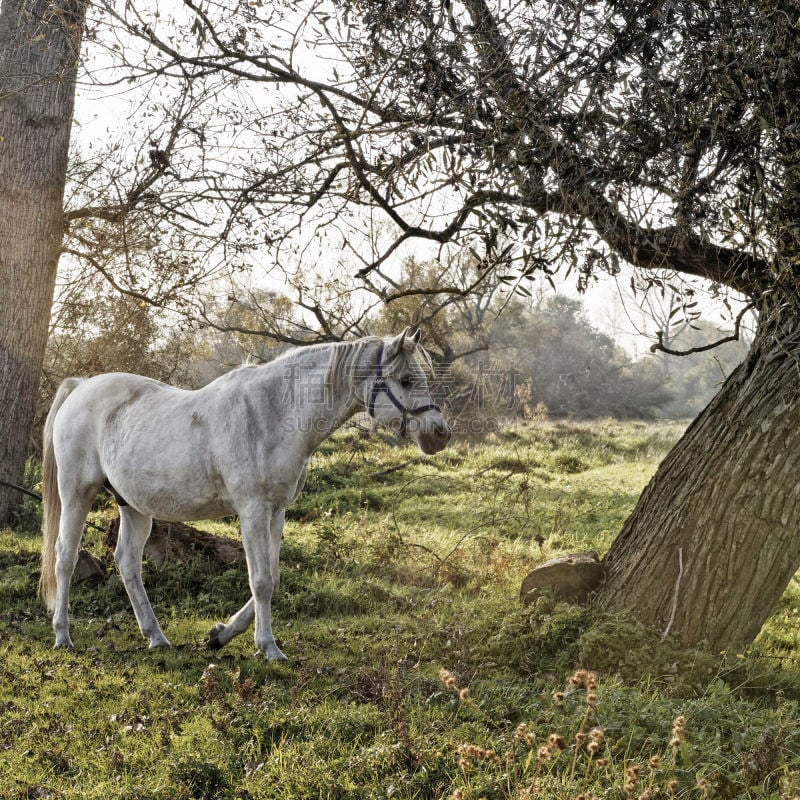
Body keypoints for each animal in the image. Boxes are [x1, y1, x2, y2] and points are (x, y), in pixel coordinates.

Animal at [40, 328, 450, 660]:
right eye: (406, 379)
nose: (440, 433)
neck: (271, 413)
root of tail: (80, 387)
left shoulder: (276, 512)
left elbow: (272, 579)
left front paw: (219, 635)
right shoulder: (253, 511)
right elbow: (261, 581)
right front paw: (268, 647)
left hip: (133, 505)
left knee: (127, 562)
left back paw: (156, 637)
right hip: (77, 493)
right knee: (65, 557)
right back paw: (63, 636)